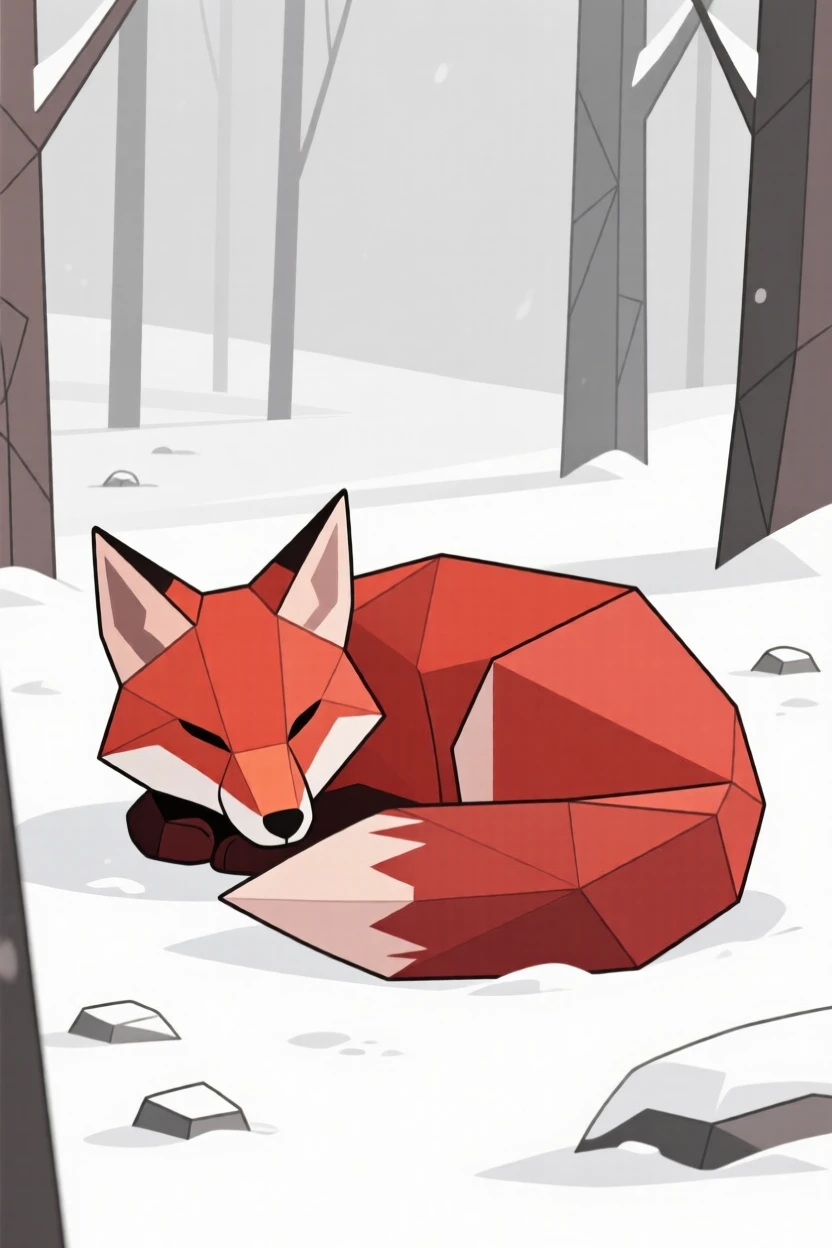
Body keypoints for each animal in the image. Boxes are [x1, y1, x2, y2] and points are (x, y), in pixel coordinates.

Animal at [93, 490, 764, 975]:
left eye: (304, 719)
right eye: (201, 734)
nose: (283, 821)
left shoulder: (401, 786)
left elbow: (339, 811)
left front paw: (241, 848)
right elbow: (145, 816)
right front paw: (184, 825)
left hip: (485, 721)